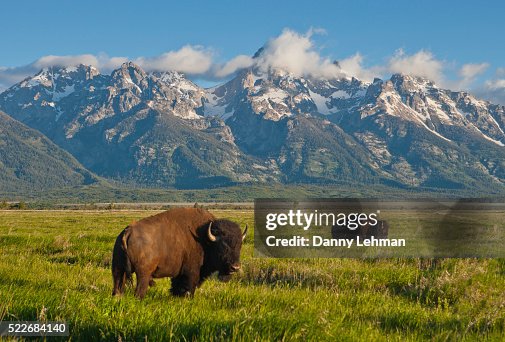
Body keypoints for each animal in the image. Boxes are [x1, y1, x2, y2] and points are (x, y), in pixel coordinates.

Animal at [111, 207, 247, 298]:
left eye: (240, 245)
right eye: (223, 246)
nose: (235, 267)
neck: (205, 238)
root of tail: (128, 231)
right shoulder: (192, 272)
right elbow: (189, 287)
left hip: (118, 269)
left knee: (117, 287)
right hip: (143, 273)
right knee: (139, 290)